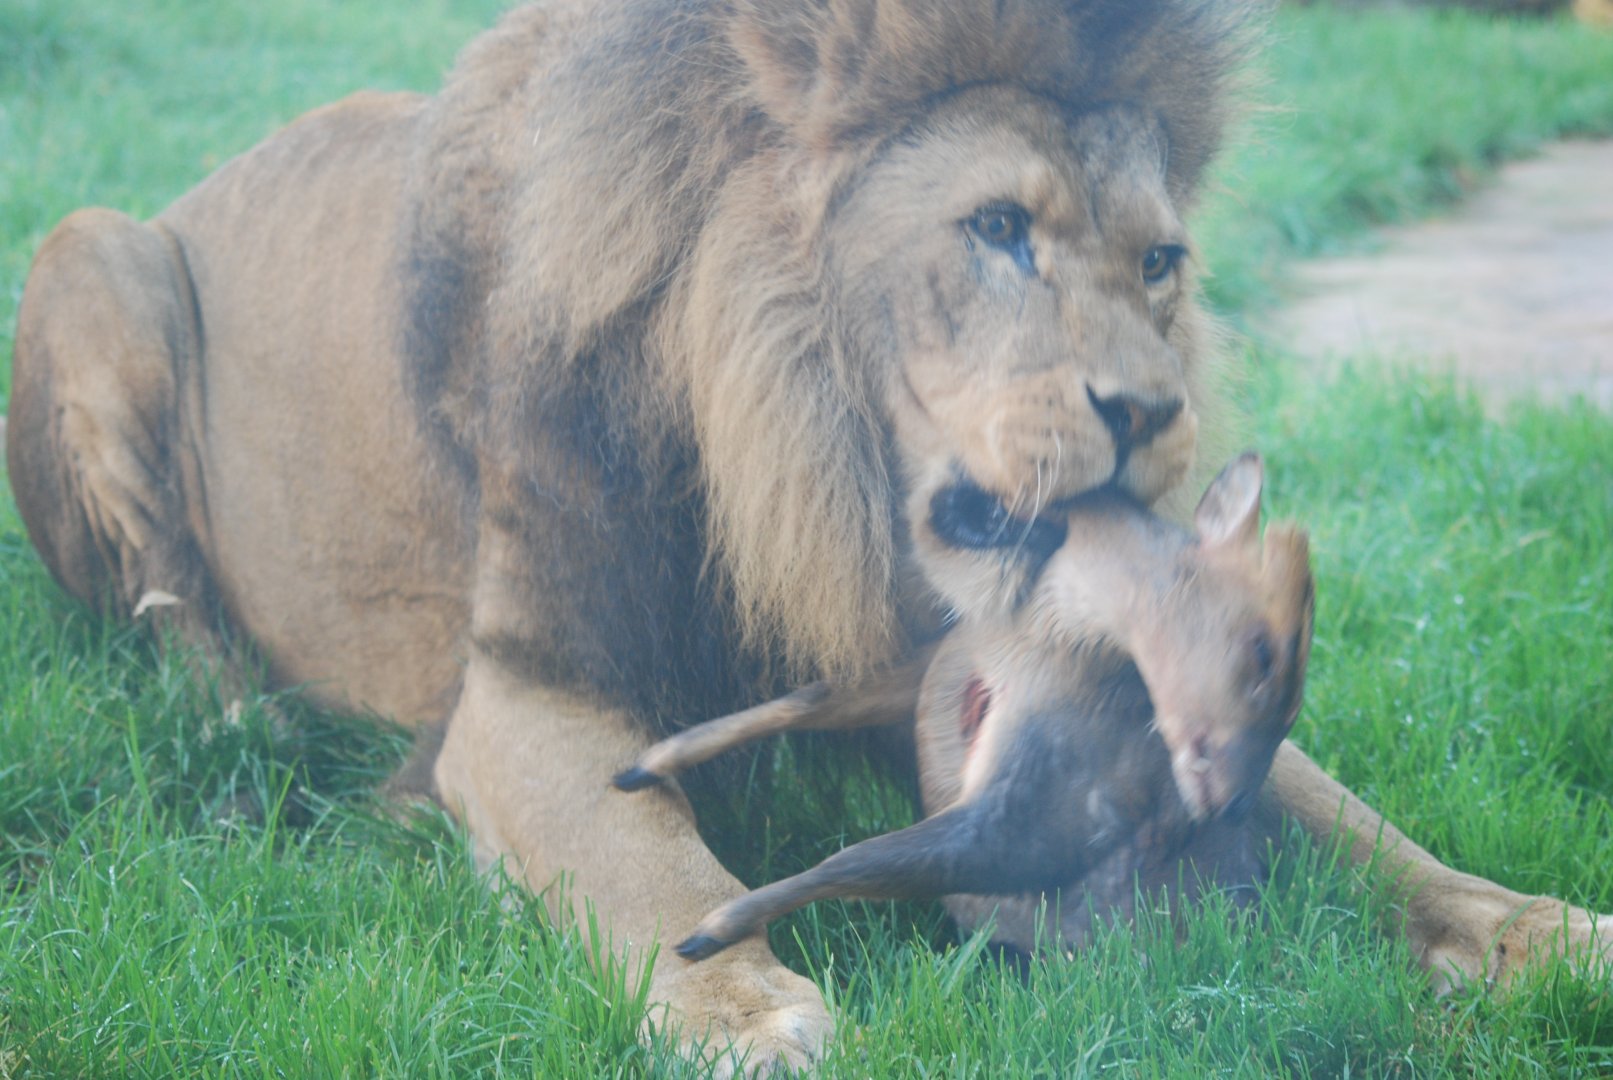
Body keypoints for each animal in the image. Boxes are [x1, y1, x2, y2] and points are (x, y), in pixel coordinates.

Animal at [7, 0, 1610, 1072]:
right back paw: (247, 730)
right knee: (174, 620)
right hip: (91, 255)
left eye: (1159, 263)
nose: (1155, 415)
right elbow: (635, 844)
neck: (820, 474)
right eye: (996, 230)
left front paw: (1543, 930)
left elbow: (1351, 819)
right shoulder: (525, 688)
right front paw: (740, 1008)